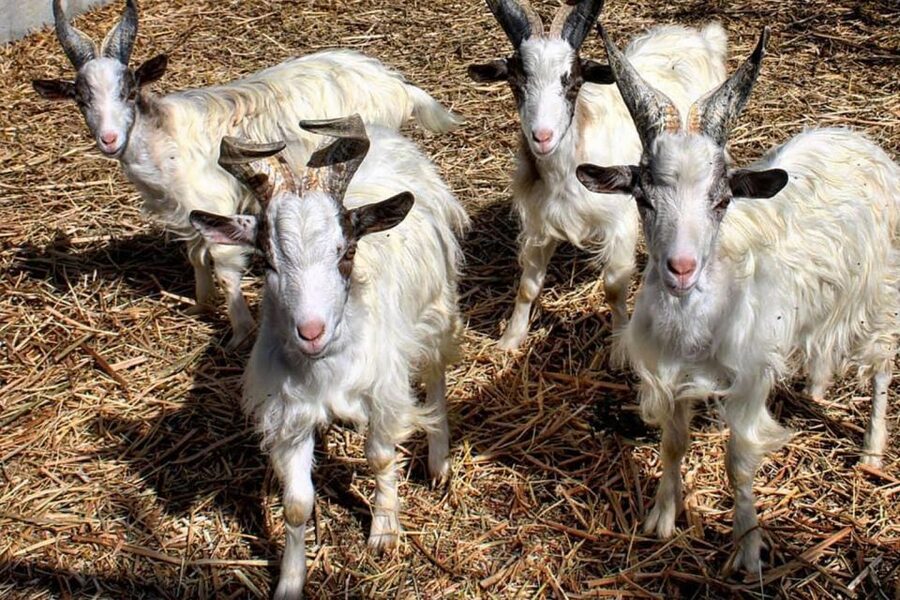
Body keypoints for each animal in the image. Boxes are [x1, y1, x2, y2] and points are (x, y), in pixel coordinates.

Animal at [32, 0, 461, 348]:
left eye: (129, 90)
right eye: (80, 97)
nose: (109, 139)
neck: (162, 135)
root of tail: (396, 84)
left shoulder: (213, 200)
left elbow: (223, 266)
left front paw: (240, 330)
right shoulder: (185, 210)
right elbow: (194, 255)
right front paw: (200, 304)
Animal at [190, 115, 468, 598]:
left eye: (347, 252)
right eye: (266, 262)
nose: (311, 332)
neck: (327, 370)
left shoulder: (384, 391)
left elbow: (380, 457)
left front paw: (384, 533)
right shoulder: (289, 415)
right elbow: (296, 505)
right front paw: (290, 581)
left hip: (435, 310)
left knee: (435, 376)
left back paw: (438, 462)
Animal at [468, 0, 726, 350]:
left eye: (573, 82)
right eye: (516, 81)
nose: (542, 137)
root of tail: (702, 37)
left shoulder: (620, 223)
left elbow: (614, 288)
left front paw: (620, 345)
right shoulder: (540, 223)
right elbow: (528, 286)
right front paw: (509, 341)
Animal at [577, 26, 899, 573]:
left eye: (722, 200)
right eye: (643, 198)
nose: (681, 268)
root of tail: (858, 140)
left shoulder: (748, 377)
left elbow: (738, 461)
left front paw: (747, 548)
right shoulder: (669, 374)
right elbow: (673, 444)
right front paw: (662, 519)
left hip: (877, 294)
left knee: (879, 368)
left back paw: (872, 453)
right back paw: (817, 387)